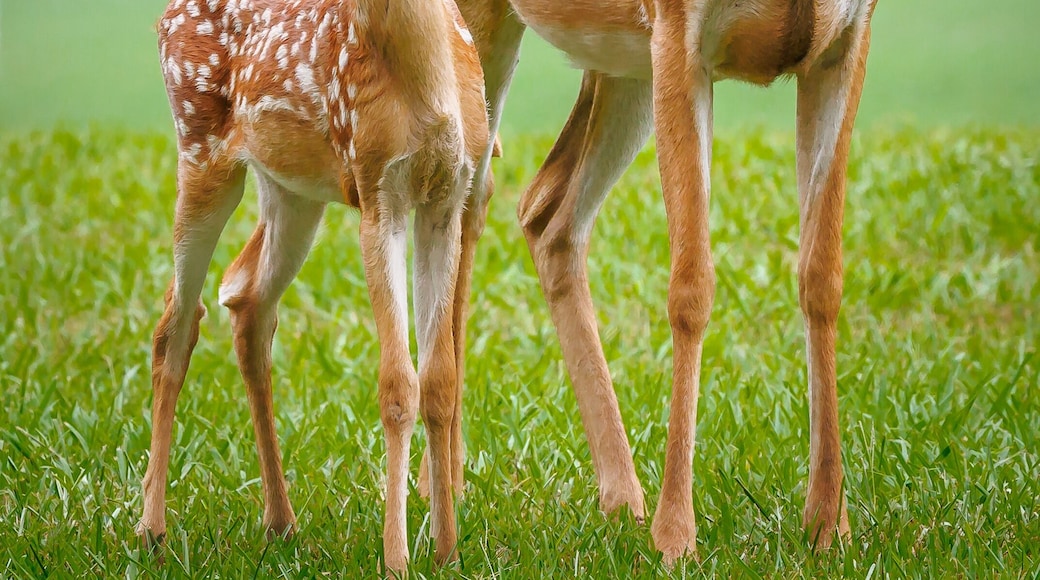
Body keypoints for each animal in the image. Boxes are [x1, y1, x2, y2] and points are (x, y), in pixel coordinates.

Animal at [138, 0, 492, 571]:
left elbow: (440, 379)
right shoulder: (376, 192)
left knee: (247, 299)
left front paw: (448, 555)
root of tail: (166, 15)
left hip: (292, 190)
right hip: (199, 149)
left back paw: (280, 522)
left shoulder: (448, 196)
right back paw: (152, 530)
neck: (427, 78)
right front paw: (396, 561)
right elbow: (398, 385)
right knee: (177, 321)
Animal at [446, 0, 879, 562]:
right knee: (467, 198)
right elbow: (691, 286)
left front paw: (830, 529)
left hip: (619, 62)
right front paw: (675, 537)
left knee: (546, 211)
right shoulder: (677, 35)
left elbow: (822, 277)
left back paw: (622, 502)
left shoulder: (845, 42)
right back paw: (445, 489)